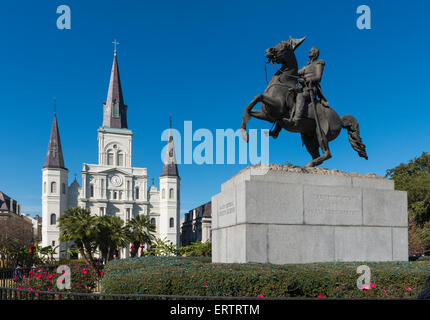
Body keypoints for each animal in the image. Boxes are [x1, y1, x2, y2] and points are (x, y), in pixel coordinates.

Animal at [240, 37, 368, 168]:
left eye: (285, 46)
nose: (268, 50)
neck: (283, 81)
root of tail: (340, 120)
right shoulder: (268, 116)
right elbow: (248, 108)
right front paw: (244, 133)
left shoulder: (277, 106)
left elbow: (258, 96)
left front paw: (244, 134)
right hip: (309, 138)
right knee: (317, 154)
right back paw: (308, 164)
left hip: (321, 133)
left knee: (327, 153)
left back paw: (309, 163)